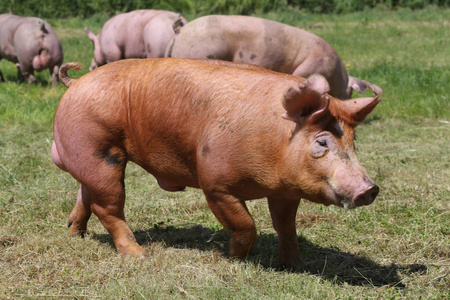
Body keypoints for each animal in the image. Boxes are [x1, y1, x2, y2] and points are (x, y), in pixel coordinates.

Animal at [53, 58, 384, 268]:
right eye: (322, 142)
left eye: (354, 141)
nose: (369, 189)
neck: (274, 140)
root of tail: (76, 82)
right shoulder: (215, 184)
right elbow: (246, 225)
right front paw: (234, 257)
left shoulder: (285, 192)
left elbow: (286, 226)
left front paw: (297, 266)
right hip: (98, 149)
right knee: (107, 206)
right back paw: (139, 255)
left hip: (91, 156)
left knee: (85, 194)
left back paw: (74, 234)